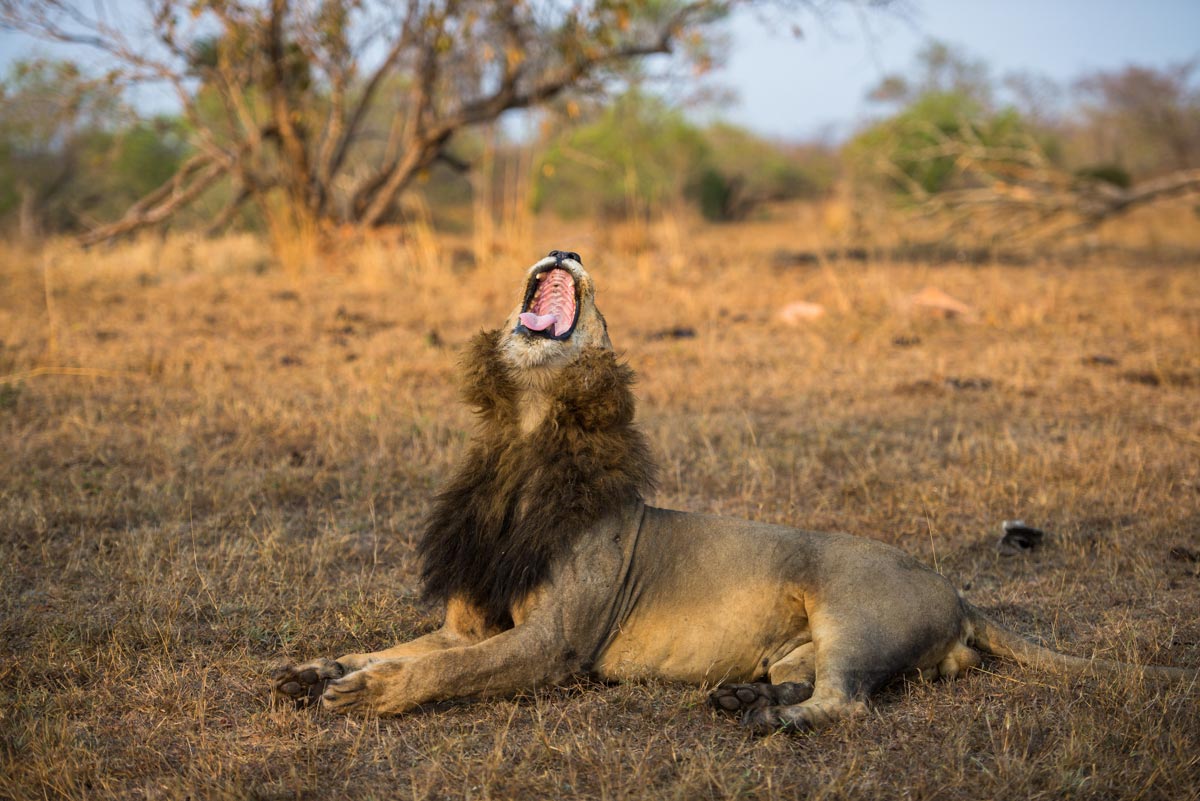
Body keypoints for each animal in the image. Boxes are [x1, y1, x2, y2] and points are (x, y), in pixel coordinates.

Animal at [273, 249, 1195, 733]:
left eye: (598, 301)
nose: (568, 247)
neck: (526, 436)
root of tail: (961, 591)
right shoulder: (473, 616)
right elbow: (403, 645)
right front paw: (319, 668)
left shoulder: (552, 645)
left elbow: (445, 669)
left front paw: (365, 693)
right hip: (817, 642)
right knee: (827, 680)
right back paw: (747, 692)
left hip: (851, 606)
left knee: (846, 703)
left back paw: (764, 717)